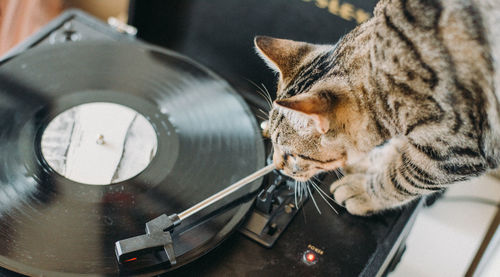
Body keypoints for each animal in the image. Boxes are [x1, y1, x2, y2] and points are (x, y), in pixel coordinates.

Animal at [254, 0, 500, 216]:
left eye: (293, 154)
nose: (275, 165)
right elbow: (398, 151)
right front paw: (370, 163)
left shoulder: (458, 151)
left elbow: (407, 178)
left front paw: (364, 192)